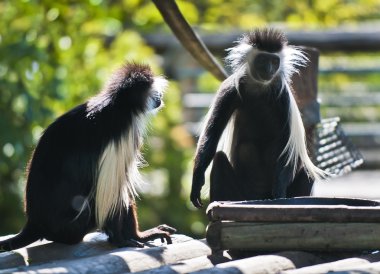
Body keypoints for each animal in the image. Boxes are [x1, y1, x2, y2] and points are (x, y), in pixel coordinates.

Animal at [0, 63, 175, 252]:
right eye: (153, 91)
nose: (160, 96)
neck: (119, 106)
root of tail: (34, 224)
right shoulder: (122, 133)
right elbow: (113, 194)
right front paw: (128, 238)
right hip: (73, 226)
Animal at [191, 28, 326, 208]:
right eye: (263, 60)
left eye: (274, 61)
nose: (269, 70)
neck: (259, 89)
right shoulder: (229, 91)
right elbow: (211, 135)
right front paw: (196, 183)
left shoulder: (283, 99)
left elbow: (288, 149)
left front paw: (279, 195)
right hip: (240, 193)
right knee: (221, 158)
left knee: (306, 169)